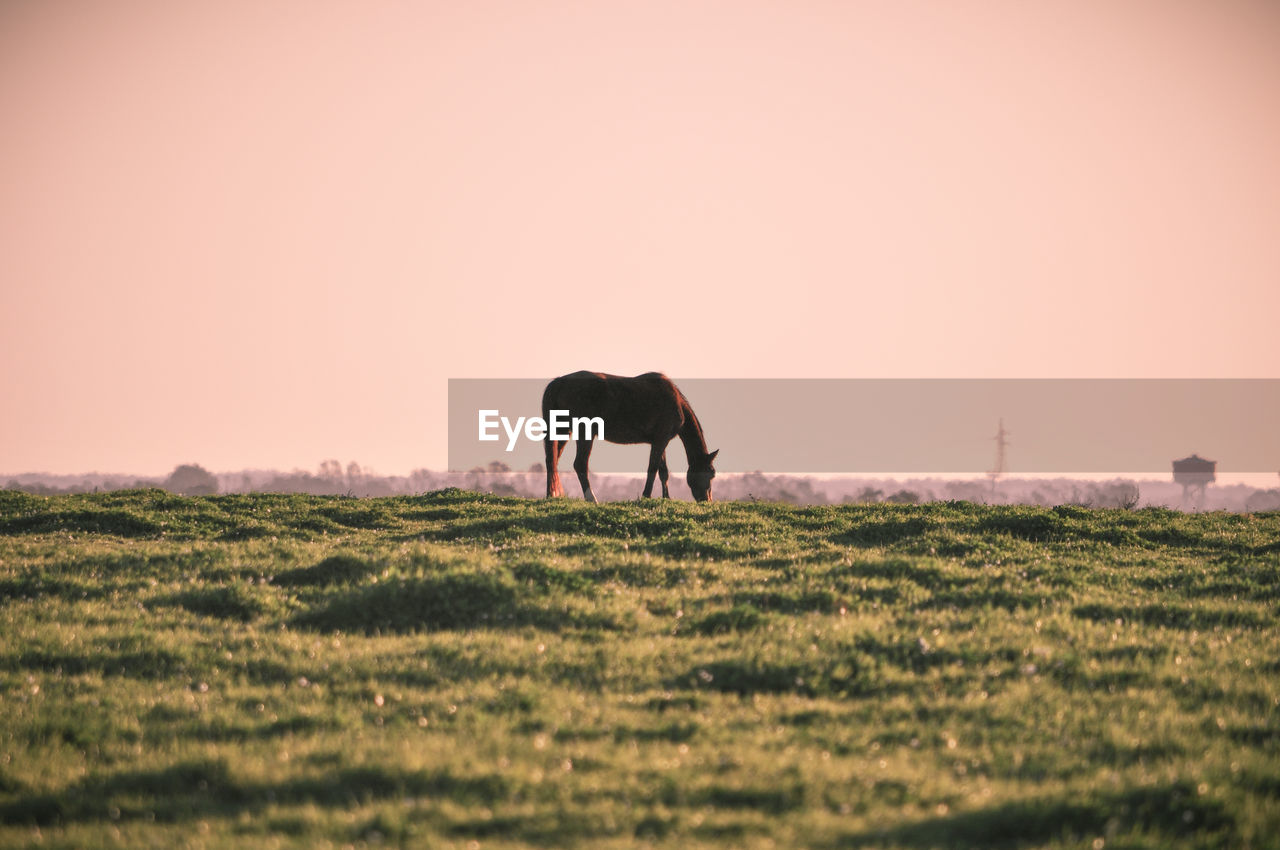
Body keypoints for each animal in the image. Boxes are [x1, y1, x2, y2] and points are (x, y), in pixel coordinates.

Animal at [542, 368, 721, 501]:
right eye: (711, 473)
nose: (707, 500)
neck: (675, 401)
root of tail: (560, 382)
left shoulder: (658, 441)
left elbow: (663, 472)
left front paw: (666, 498)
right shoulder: (661, 440)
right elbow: (652, 468)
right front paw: (646, 496)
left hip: (563, 431)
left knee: (552, 460)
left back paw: (551, 495)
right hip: (584, 432)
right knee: (579, 464)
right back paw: (591, 498)